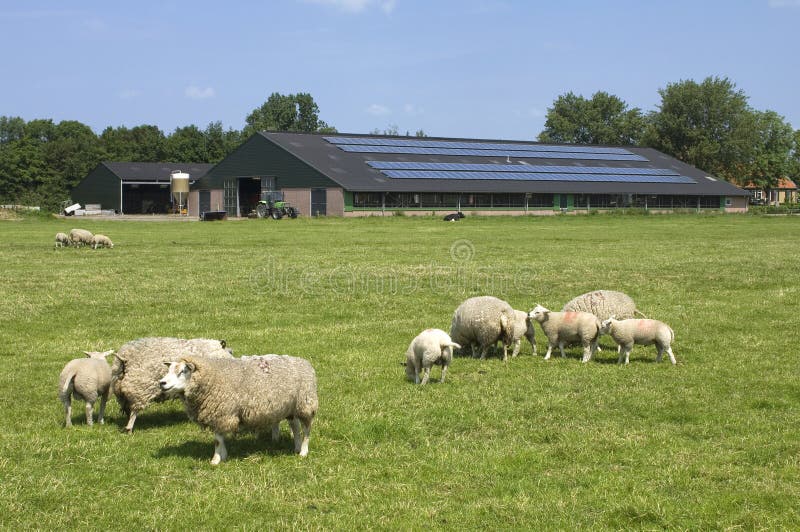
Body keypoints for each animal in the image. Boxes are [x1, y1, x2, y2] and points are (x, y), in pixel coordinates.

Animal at [158, 354, 318, 466]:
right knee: (295, 426)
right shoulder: (219, 414)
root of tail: (304, 362)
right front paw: (223, 456)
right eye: (169, 370)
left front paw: (215, 460)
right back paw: (296, 448)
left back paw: (303, 451)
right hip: (291, 407)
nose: (162, 383)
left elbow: (217, 440)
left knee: (306, 429)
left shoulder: (222, 412)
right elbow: (219, 438)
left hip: (305, 403)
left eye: (183, 371)